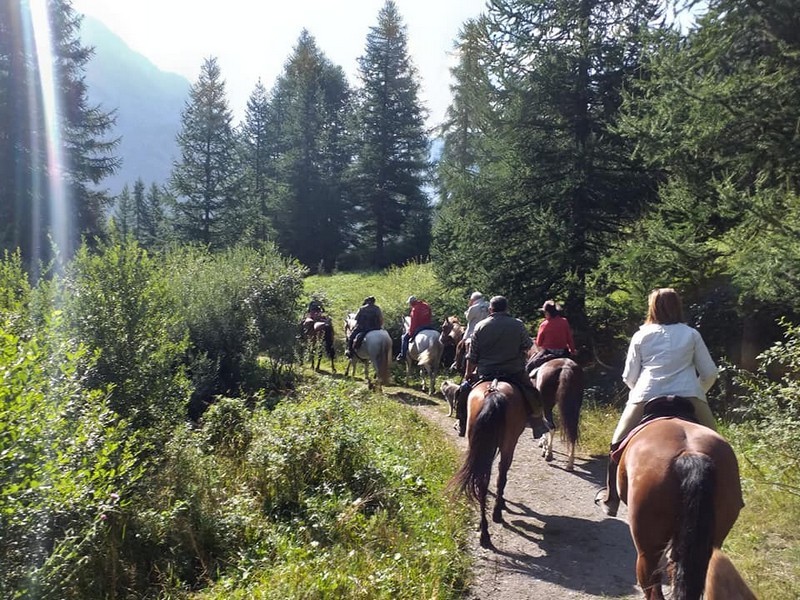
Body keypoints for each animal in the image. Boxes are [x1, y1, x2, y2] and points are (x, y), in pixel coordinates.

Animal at [450, 379, 528, 549]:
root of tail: (494, 390)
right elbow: (501, 477)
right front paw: (502, 504)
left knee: (482, 483)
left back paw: (484, 531)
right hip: (508, 444)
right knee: (501, 476)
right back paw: (496, 513)